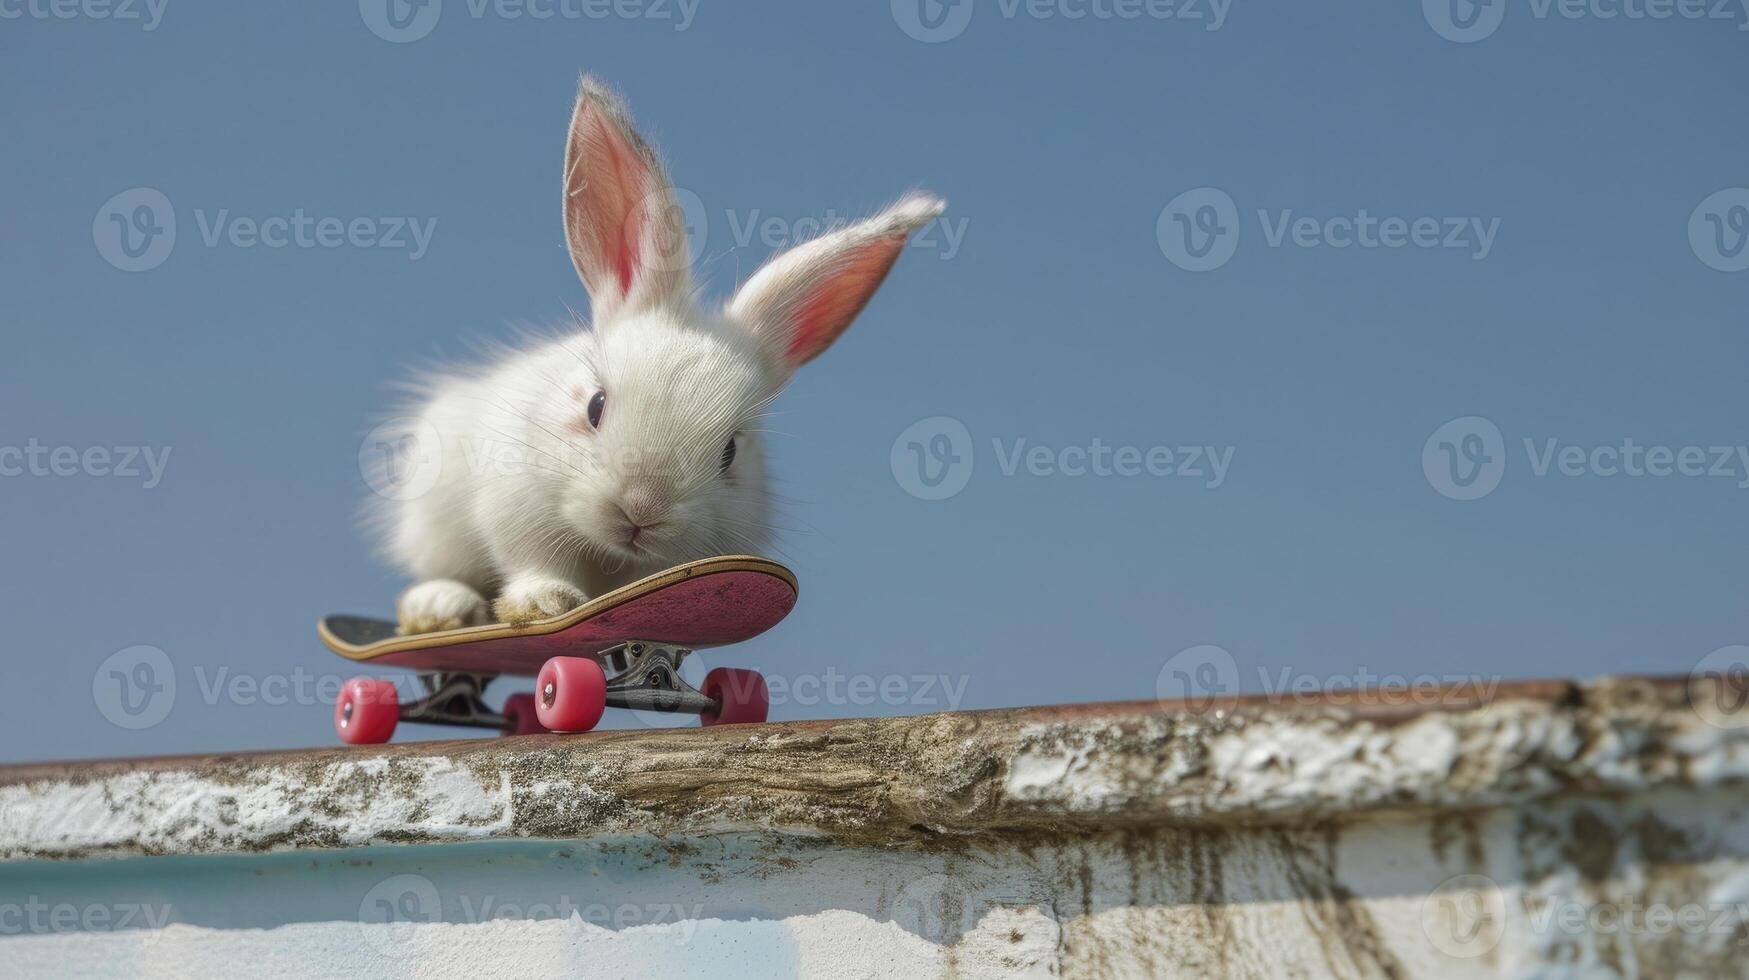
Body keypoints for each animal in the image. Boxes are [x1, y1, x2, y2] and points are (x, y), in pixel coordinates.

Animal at [370, 74, 944, 626]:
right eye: (595, 406)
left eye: (730, 452)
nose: (642, 510)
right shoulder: (516, 506)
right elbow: (534, 563)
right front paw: (544, 604)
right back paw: (438, 606)